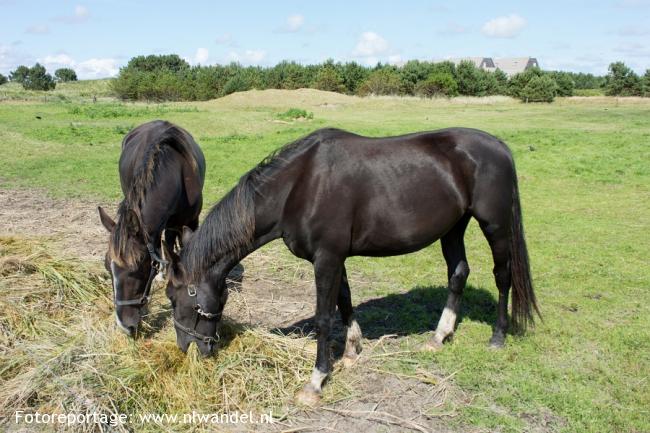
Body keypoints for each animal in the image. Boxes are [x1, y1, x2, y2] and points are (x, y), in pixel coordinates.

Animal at [162, 126, 536, 404]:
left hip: (495, 225)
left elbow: (324, 317)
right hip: (453, 227)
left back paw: (498, 336)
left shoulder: (327, 257)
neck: (300, 185)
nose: (188, 348)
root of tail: (498, 145)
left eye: (176, 298)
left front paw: (315, 381)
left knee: (503, 277)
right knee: (458, 274)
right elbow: (344, 300)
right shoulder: (334, 257)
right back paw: (439, 335)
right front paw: (352, 351)